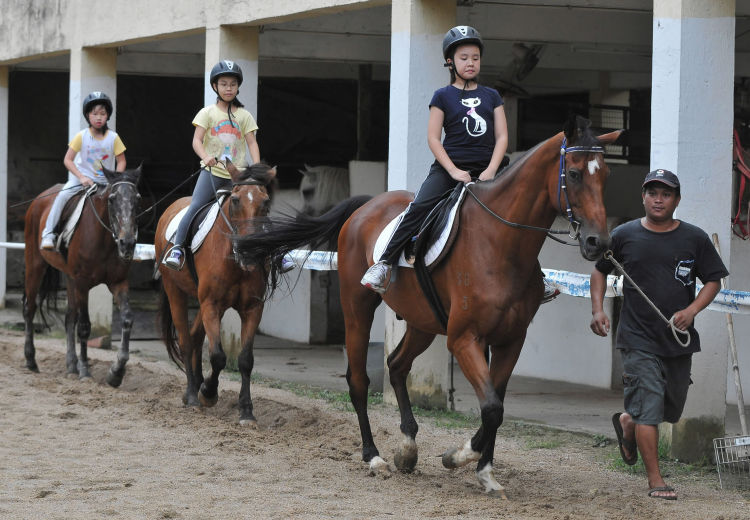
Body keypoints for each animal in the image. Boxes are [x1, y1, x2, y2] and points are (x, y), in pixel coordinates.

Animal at [23, 166, 143, 387]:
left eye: (137, 199)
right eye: (112, 199)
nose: (128, 243)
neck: (105, 239)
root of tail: (38, 200)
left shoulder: (118, 282)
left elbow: (127, 319)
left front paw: (116, 372)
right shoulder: (82, 283)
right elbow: (85, 326)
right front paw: (86, 371)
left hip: (69, 278)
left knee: (69, 317)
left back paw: (71, 366)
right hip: (36, 263)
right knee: (30, 308)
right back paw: (31, 360)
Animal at [155, 161, 276, 426]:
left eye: (265, 201)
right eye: (236, 200)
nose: (251, 252)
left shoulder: (253, 308)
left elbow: (245, 359)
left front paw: (246, 411)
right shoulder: (211, 303)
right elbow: (218, 356)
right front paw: (208, 394)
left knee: (195, 336)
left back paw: (197, 385)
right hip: (175, 290)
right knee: (186, 340)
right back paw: (192, 394)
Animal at [233, 115, 622, 496]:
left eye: (605, 174)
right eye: (574, 173)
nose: (598, 243)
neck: (500, 244)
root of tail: (366, 207)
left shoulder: (511, 340)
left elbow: (495, 406)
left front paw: (484, 471)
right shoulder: (464, 339)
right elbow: (491, 407)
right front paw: (459, 456)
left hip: (422, 323)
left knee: (396, 365)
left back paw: (407, 448)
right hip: (358, 310)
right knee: (358, 380)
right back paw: (373, 456)